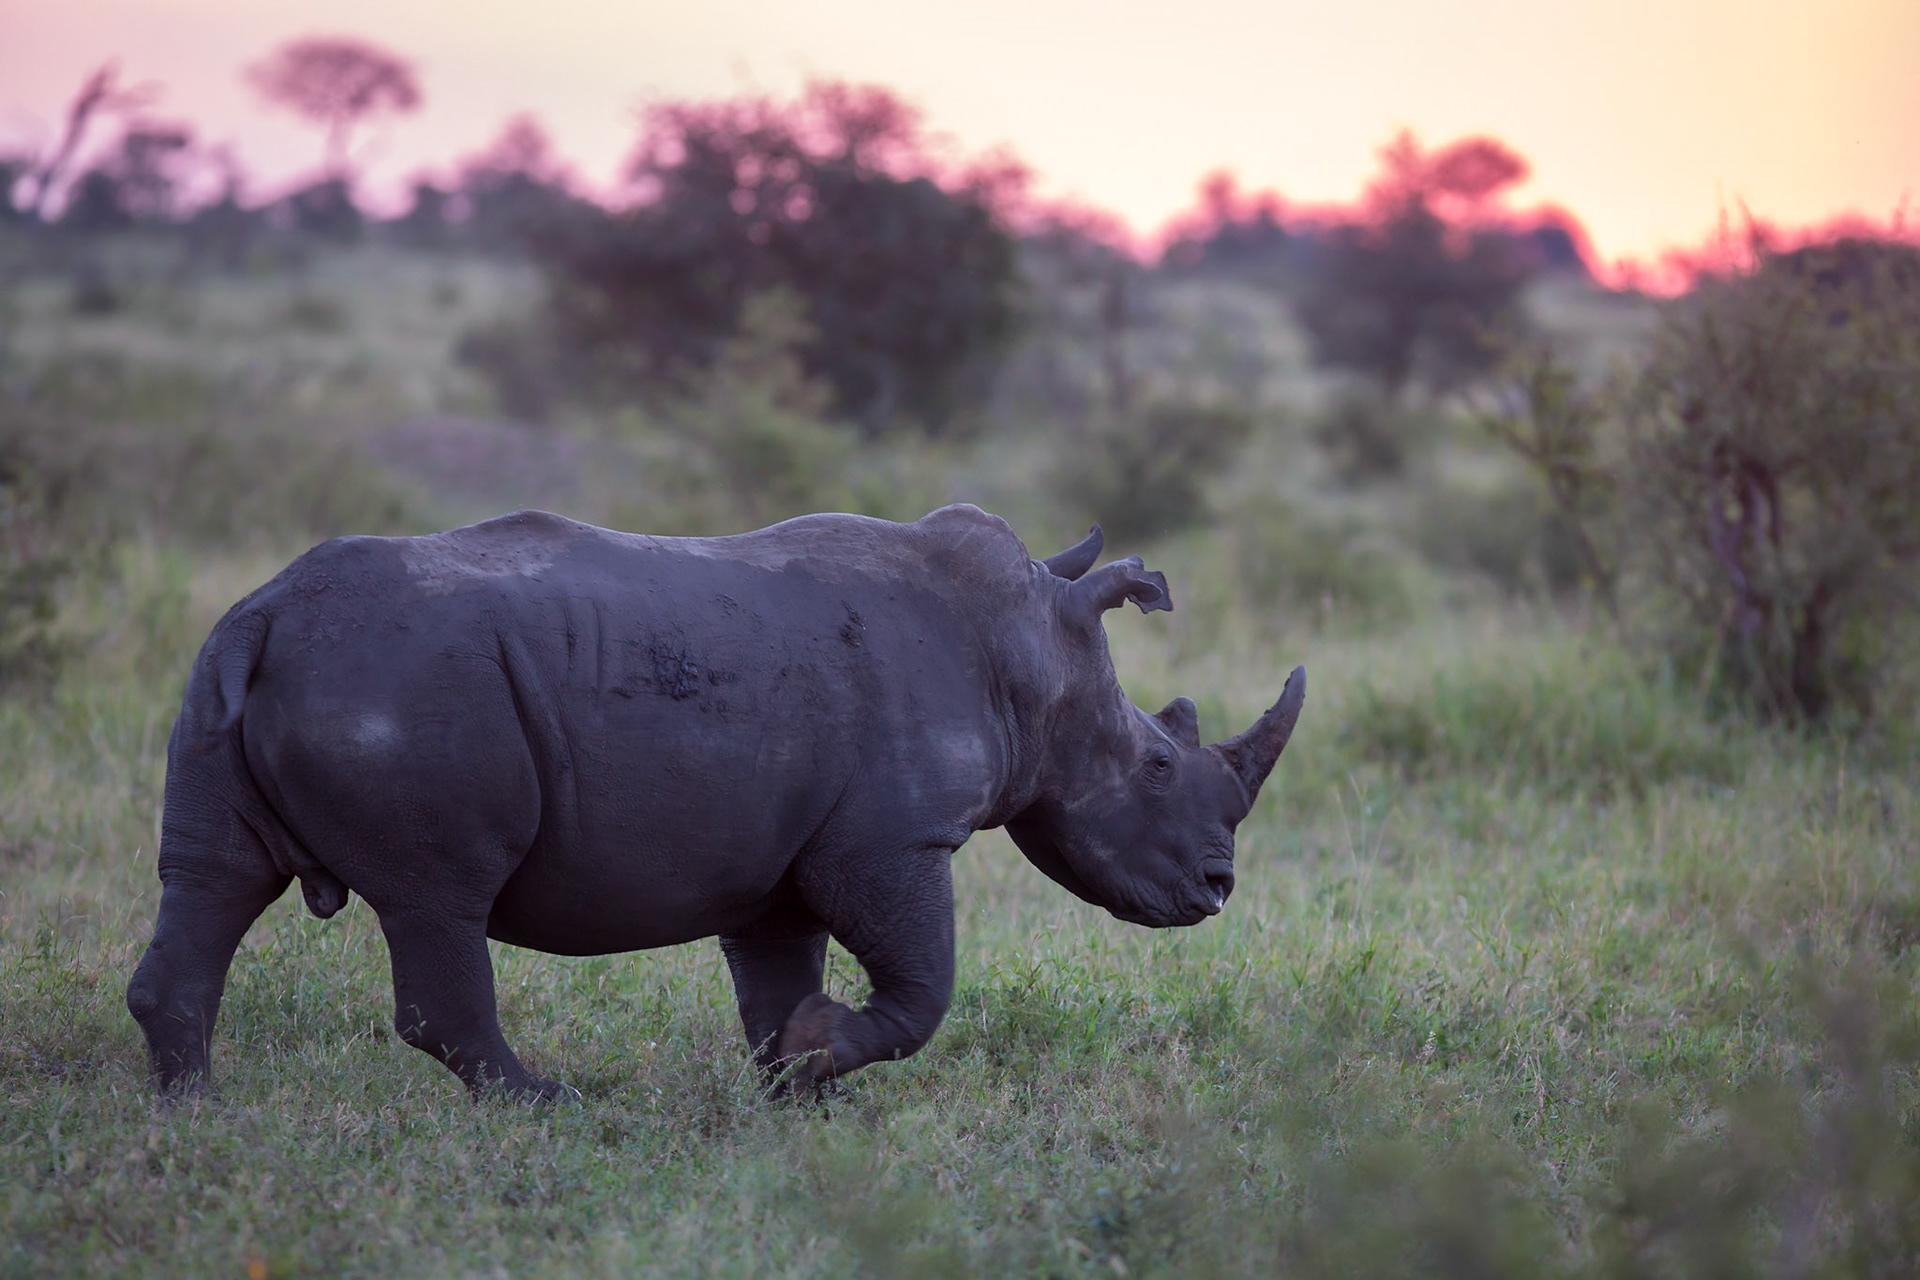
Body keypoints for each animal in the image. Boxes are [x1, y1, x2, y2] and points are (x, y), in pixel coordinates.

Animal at [127, 504, 1306, 1099]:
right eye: (1157, 766)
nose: (1217, 887)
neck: (1032, 656)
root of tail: (263, 616)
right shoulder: (889, 837)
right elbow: (924, 986)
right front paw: (824, 1053)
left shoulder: (784, 853)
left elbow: (778, 979)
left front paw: (800, 1084)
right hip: (406, 690)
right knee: (438, 898)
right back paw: (545, 1106)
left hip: (241, 667)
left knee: (215, 877)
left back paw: (192, 1110)